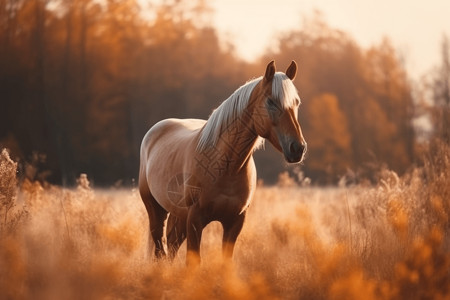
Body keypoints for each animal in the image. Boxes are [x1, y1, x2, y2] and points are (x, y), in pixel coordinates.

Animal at [138, 60, 306, 264]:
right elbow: (193, 262)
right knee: (159, 250)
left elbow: (226, 262)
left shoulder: (235, 222)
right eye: (271, 101)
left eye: (296, 102)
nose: (297, 148)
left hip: (178, 215)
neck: (226, 167)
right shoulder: (195, 220)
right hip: (156, 210)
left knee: (171, 246)